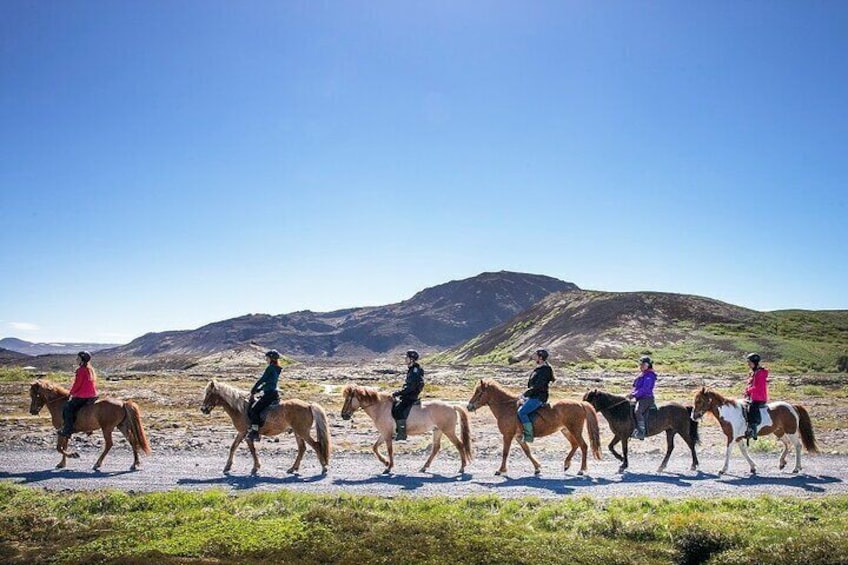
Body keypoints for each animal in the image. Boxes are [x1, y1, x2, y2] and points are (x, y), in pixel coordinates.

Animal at [200, 378, 330, 476]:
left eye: (209, 393)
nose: (203, 409)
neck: (241, 409)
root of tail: (308, 405)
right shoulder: (242, 433)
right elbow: (233, 447)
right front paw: (227, 467)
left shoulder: (246, 434)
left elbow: (252, 450)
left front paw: (255, 468)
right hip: (297, 432)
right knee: (302, 448)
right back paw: (293, 468)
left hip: (303, 432)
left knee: (316, 445)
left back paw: (323, 468)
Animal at [340, 386, 474, 474]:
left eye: (347, 399)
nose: (343, 415)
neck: (380, 407)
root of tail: (452, 406)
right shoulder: (384, 433)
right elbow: (375, 447)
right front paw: (386, 463)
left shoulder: (387, 434)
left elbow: (389, 450)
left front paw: (388, 467)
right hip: (437, 431)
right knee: (436, 448)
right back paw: (424, 467)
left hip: (448, 431)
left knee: (459, 445)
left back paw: (462, 468)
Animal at [464, 378, 604, 476]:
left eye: (479, 392)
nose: (469, 406)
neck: (506, 407)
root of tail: (580, 404)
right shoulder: (518, 437)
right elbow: (527, 451)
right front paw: (537, 468)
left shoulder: (508, 435)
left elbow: (505, 452)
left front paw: (501, 470)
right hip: (566, 430)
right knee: (575, 445)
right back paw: (566, 464)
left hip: (575, 430)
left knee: (583, 446)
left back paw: (581, 470)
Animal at [692, 386, 820, 474]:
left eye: (699, 401)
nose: (693, 416)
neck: (729, 413)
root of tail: (792, 406)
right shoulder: (738, 438)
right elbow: (744, 452)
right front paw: (753, 467)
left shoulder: (731, 437)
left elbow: (728, 452)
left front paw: (723, 469)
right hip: (778, 431)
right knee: (787, 444)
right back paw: (782, 463)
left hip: (791, 431)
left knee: (798, 446)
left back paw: (796, 468)